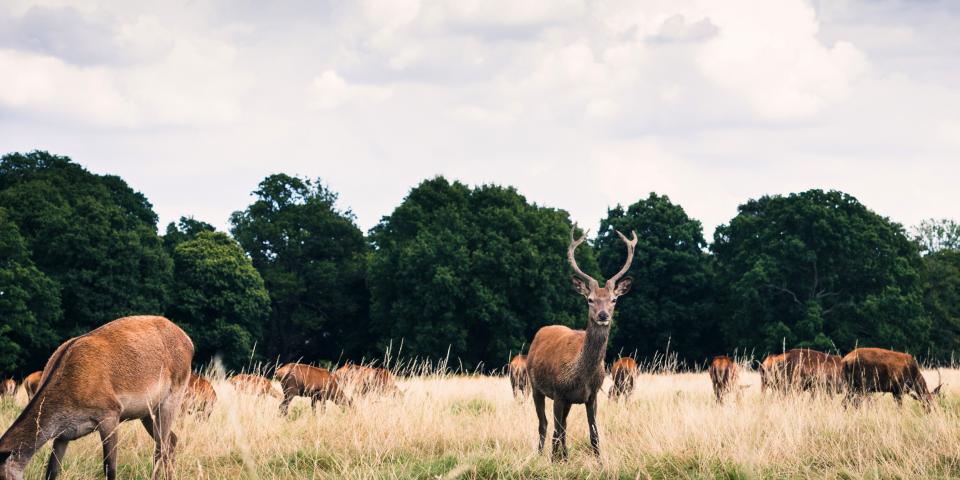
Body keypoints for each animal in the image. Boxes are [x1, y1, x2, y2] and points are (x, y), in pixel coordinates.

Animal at [0, 316, 193, 480]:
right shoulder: (63, 435)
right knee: (171, 441)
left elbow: (110, 468)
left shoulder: (111, 413)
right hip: (147, 411)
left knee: (161, 448)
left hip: (173, 396)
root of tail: (189, 342)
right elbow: (52, 471)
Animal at [524, 225, 636, 462]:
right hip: (535, 386)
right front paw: (552, 462)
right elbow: (555, 430)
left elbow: (593, 433)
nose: (603, 315)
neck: (580, 377)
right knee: (544, 424)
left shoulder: (592, 396)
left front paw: (599, 462)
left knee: (563, 426)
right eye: (590, 299)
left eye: (614, 299)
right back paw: (541, 454)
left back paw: (565, 456)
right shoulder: (558, 392)